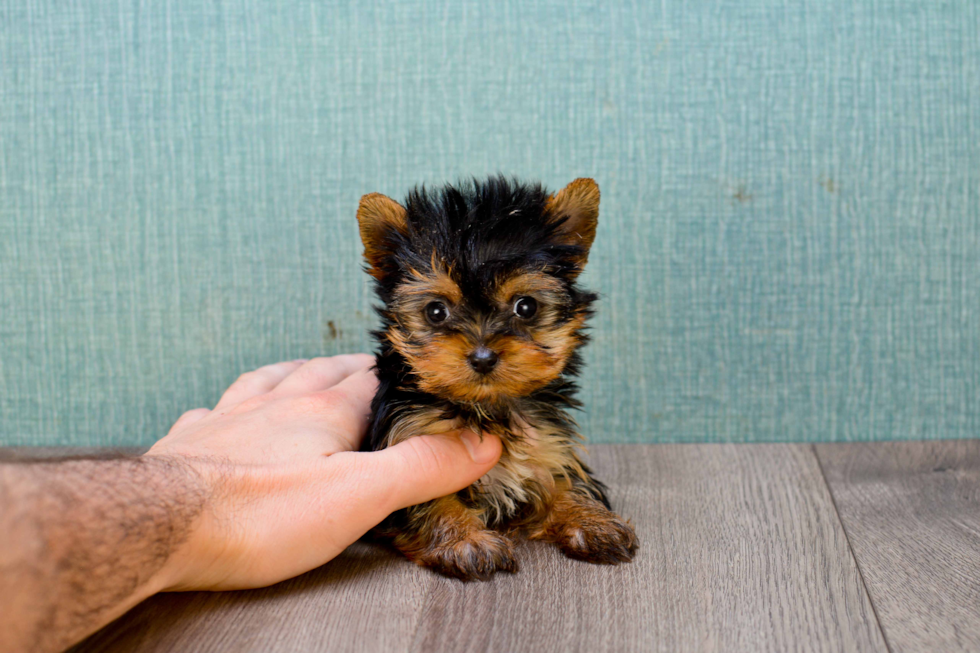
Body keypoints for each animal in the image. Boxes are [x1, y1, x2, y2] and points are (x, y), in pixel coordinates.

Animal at [356, 176, 640, 580]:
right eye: (436, 311)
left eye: (526, 306)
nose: (483, 357)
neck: (487, 407)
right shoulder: (404, 441)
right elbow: (429, 498)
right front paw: (464, 540)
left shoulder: (547, 442)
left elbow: (564, 481)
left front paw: (591, 521)